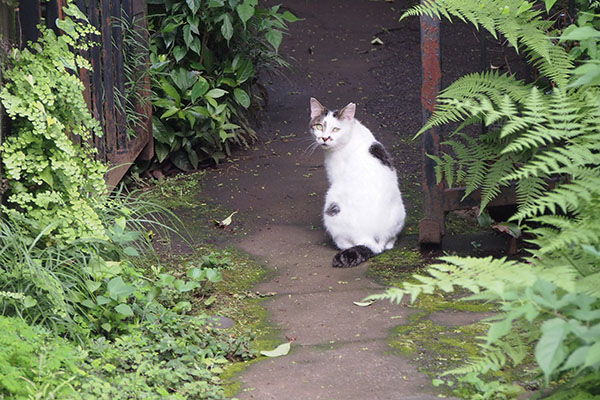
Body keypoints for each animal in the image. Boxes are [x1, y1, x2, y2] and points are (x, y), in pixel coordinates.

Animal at [312, 97, 406, 268]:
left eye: (336, 129)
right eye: (319, 126)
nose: (325, 138)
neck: (352, 134)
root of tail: (371, 239)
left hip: (331, 208)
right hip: (401, 212)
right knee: (389, 243)